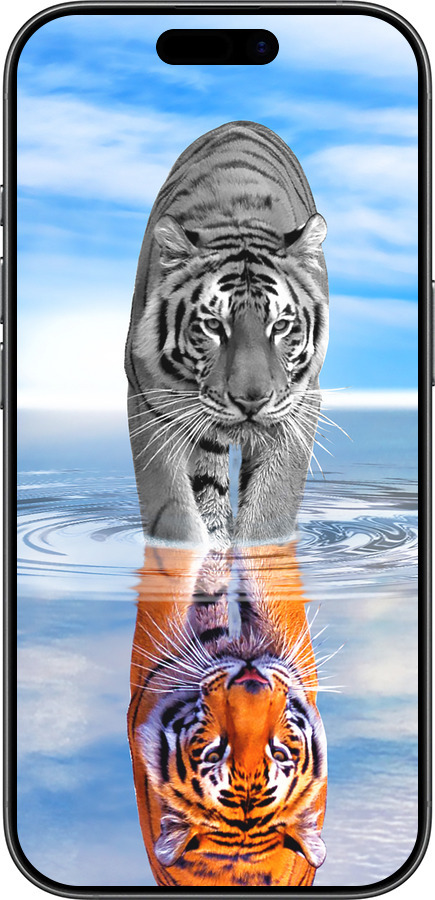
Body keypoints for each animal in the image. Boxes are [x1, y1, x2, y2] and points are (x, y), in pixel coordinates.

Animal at [125, 121, 329, 548]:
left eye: (280, 326)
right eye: (213, 325)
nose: (251, 400)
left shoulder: (300, 404)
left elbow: (271, 509)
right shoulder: (149, 401)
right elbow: (173, 512)